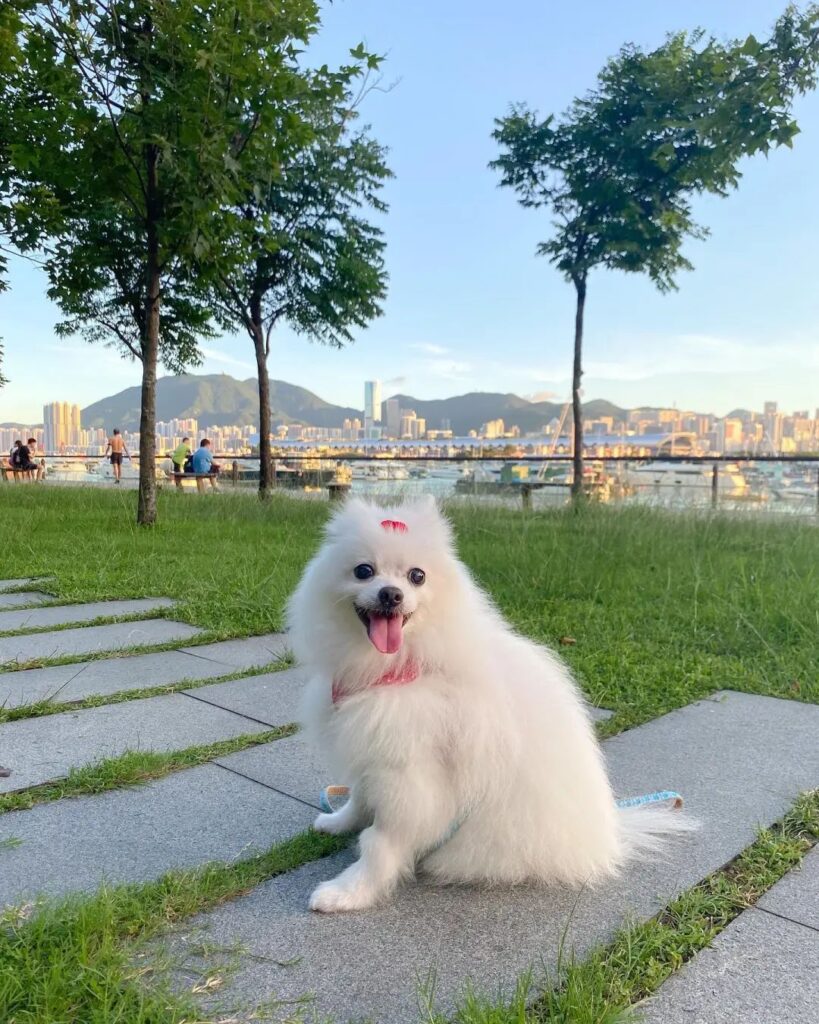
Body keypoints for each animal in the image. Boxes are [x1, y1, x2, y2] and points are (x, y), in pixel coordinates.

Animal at [288, 497, 692, 913]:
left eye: (417, 576)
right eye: (364, 571)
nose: (391, 594)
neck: (399, 668)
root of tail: (608, 837)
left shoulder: (409, 778)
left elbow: (379, 842)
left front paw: (348, 891)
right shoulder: (371, 752)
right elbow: (358, 796)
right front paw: (338, 822)